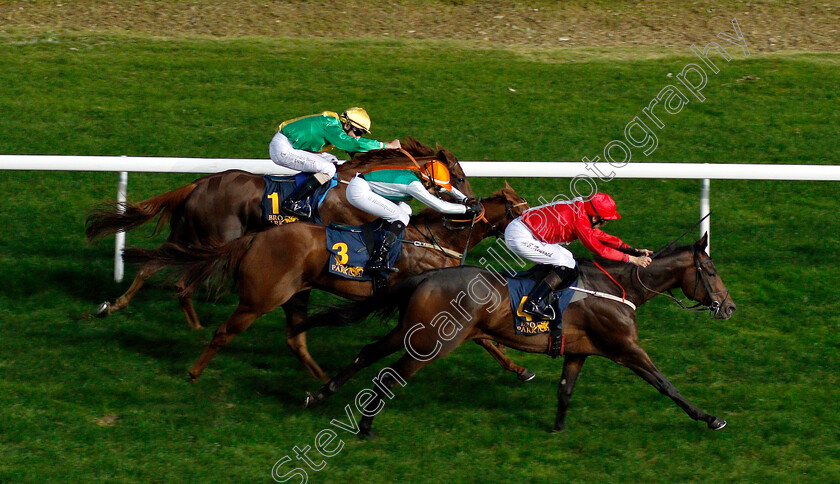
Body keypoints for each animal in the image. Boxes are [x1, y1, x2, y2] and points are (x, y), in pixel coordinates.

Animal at [88, 138, 476, 330]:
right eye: (458, 176)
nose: (471, 201)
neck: (351, 183)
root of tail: (198, 183)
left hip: (188, 235)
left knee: (151, 265)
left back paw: (114, 306)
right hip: (208, 236)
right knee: (174, 273)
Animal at [121, 184, 528, 382]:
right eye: (522, 211)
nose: (538, 228)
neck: (437, 239)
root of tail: (255, 238)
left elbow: (485, 339)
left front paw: (519, 368)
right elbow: (483, 338)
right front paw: (518, 367)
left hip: (295, 294)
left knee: (295, 340)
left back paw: (323, 378)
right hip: (259, 298)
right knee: (224, 333)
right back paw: (194, 372)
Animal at [294, 235, 736, 438]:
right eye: (711, 271)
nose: (729, 307)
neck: (619, 288)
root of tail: (429, 275)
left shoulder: (579, 352)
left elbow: (565, 391)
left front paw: (557, 430)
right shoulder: (625, 348)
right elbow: (666, 384)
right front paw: (710, 417)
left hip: (411, 330)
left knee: (369, 352)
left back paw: (320, 393)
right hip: (434, 344)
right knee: (391, 375)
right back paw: (366, 425)